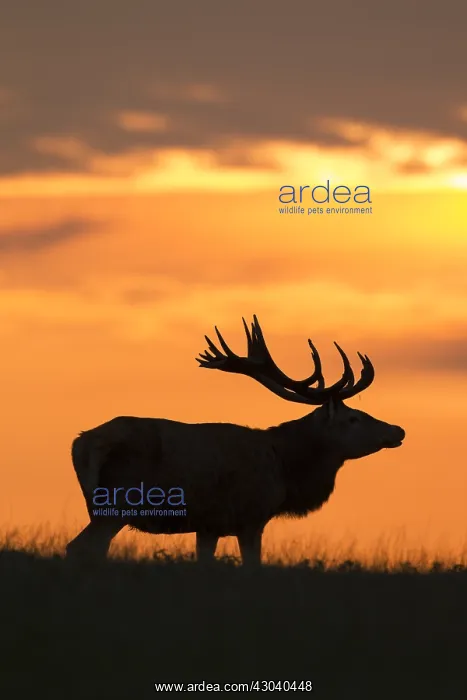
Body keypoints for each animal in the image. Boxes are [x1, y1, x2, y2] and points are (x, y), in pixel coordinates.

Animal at [65, 316, 405, 565]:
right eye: (354, 418)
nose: (398, 430)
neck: (285, 469)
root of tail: (82, 444)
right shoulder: (250, 516)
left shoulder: (208, 524)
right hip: (119, 501)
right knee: (82, 547)